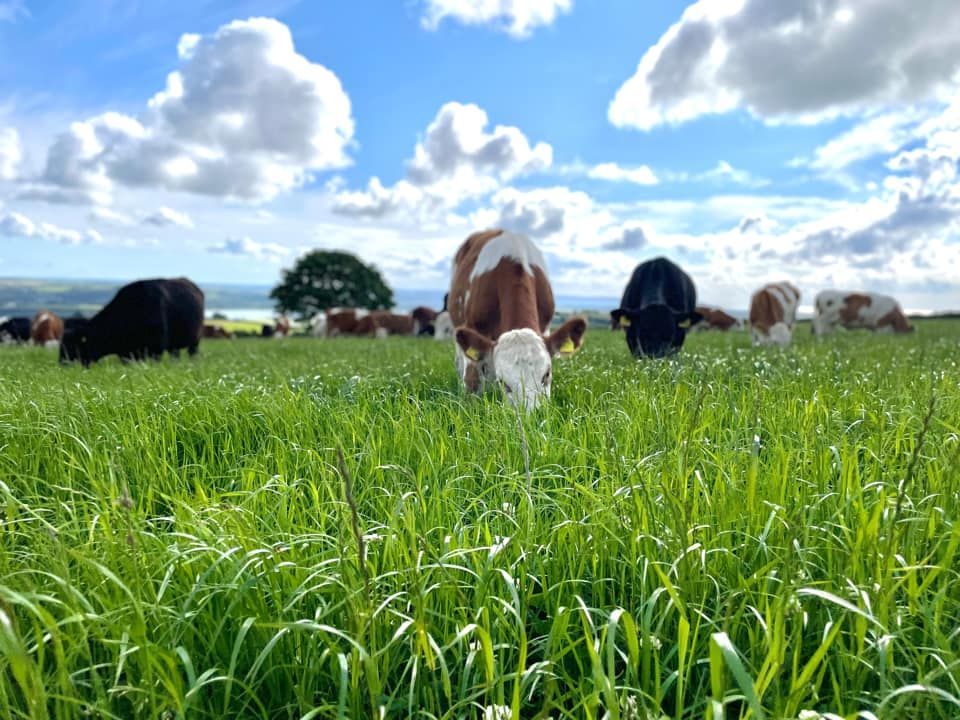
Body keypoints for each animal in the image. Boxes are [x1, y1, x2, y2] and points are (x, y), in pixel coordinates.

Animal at [60, 277, 204, 366]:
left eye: (73, 344)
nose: (62, 363)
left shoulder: (156, 348)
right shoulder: (126, 354)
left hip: (195, 340)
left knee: (192, 353)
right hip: (175, 345)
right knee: (175, 355)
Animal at [449, 228, 586, 411]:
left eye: (546, 374)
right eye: (503, 382)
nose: (532, 415)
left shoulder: (545, 327)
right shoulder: (474, 329)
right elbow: (472, 380)